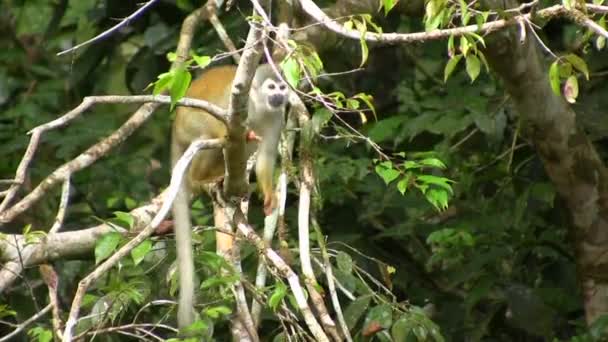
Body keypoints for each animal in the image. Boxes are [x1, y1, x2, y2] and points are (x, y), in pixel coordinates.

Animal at [169, 63, 288, 328]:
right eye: (271, 87)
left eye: (282, 87)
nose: (279, 95)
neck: (260, 105)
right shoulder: (237, 106)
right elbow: (225, 126)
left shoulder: (277, 116)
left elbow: (265, 157)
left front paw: (268, 196)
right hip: (188, 124)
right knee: (213, 135)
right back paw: (202, 178)